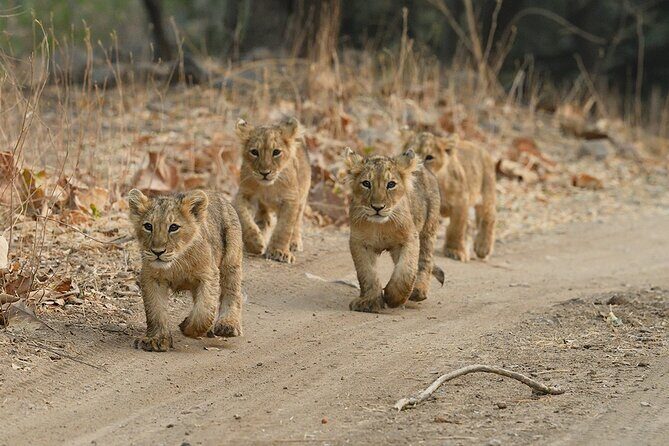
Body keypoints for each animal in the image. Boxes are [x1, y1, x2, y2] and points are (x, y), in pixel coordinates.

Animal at [127, 189, 244, 352]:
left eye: (173, 227)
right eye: (148, 226)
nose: (157, 252)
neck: (177, 262)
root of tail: (215, 193)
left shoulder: (208, 275)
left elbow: (204, 310)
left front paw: (188, 327)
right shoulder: (152, 278)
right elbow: (155, 310)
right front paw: (156, 339)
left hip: (231, 260)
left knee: (232, 291)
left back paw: (228, 325)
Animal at [233, 116, 311, 264]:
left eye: (276, 152)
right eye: (254, 152)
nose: (265, 173)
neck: (269, 188)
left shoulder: (290, 199)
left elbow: (284, 227)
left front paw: (279, 252)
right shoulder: (245, 194)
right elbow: (243, 217)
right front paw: (255, 243)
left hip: (302, 197)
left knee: (297, 221)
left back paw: (294, 243)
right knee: (265, 219)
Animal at [343, 148, 443, 313]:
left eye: (391, 184)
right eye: (366, 183)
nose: (377, 207)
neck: (380, 227)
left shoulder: (410, 238)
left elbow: (406, 270)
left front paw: (393, 297)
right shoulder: (359, 243)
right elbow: (367, 273)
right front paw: (369, 302)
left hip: (428, 229)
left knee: (424, 262)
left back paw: (418, 291)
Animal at [402, 130, 496, 262]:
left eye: (429, 157)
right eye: (406, 154)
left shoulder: (461, 202)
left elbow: (456, 227)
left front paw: (454, 251)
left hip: (486, 193)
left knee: (489, 216)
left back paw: (483, 248)